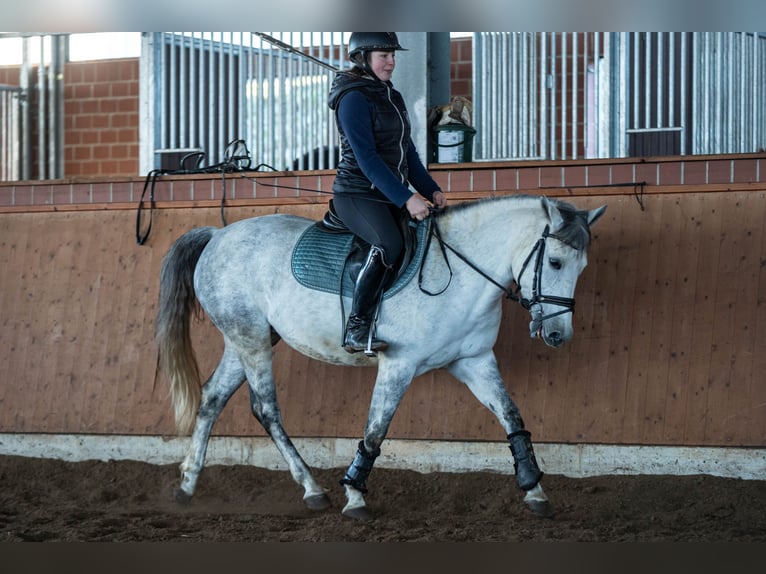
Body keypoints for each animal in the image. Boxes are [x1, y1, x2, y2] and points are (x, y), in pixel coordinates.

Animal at [156, 195, 608, 520]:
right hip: (250, 339)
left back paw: (187, 485)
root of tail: (218, 235)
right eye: (555, 262)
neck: (460, 276)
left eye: (584, 267)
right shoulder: (399, 364)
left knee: (212, 398)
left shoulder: (475, 361)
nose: (557, 335)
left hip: (246, 340)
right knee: (266, 408)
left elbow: (512, 417)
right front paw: (355, 496)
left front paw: (534, 488)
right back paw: (312, 490)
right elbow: (376, 430)